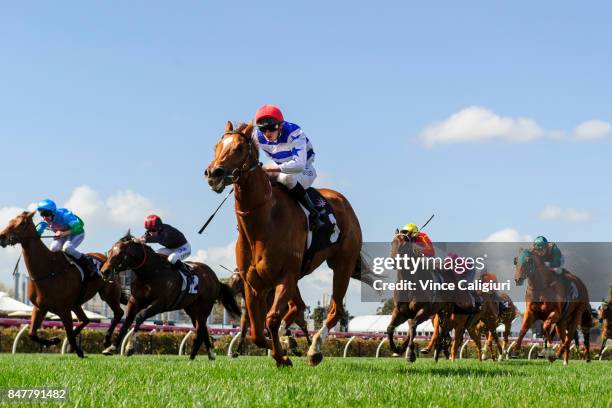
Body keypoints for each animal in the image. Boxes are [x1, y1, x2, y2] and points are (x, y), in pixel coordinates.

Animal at [0, 210, 126, 356]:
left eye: (21, 223)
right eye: (10, 221)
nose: (2, 236)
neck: (48, 269)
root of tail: (107, 258)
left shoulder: (64, 309)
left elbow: (69, 334)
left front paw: (78, 350)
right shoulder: (40, 307)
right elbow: (32, 334)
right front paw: (54, 340)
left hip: (109, 295)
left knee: (118, 313)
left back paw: (106, 342)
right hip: (76, 304)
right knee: (85, 319)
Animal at [99, 233, 240, 360]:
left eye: (121, 253)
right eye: (110, 251)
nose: (104, 271)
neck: (151, 273)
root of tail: (215, 278)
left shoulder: (160, 303)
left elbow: (140, 317)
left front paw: (129, 348)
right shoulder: (135, 300)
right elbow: (127, 321)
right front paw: (111, 347)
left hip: (204, 307)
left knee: (200, 330)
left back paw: (192, 357)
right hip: (191, 309)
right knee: (202, 328)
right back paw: (210, 354)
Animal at [206, 121, 368, 366]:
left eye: (239, 148)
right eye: (216, 146)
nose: (213, 173)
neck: (263, 222)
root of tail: (343, 201)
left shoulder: (286, 276)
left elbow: (271, 319)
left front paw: (282, 355)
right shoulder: (253, 284)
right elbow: (256, 330)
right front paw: (277, 349)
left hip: (342, 265)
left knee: (335, 310)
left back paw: (314, 350)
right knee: (298, 308)